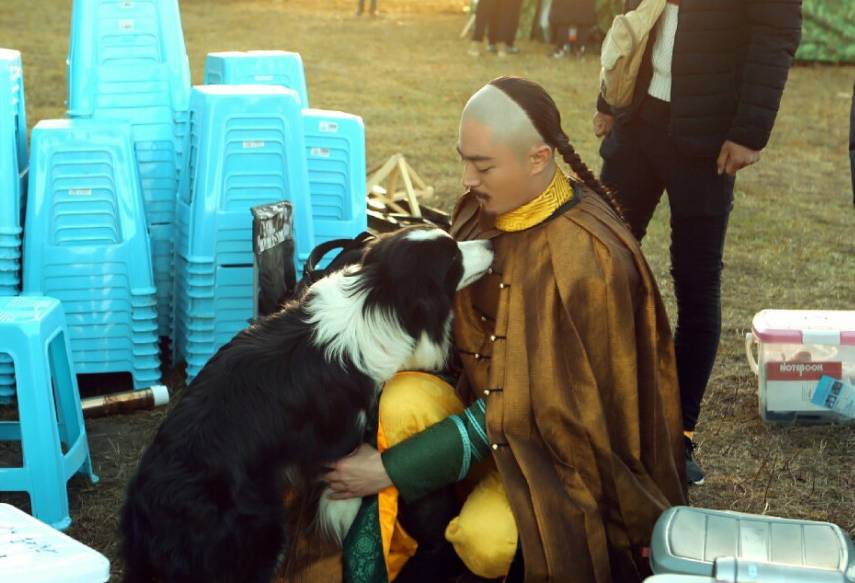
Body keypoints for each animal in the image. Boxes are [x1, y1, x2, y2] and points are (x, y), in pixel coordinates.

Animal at [120, 227, 494, 583]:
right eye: (453, 258)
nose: (491, 243)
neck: (376, 299)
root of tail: (145, 511)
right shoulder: (337, 444)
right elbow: (341, 495)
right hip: (260, 532)